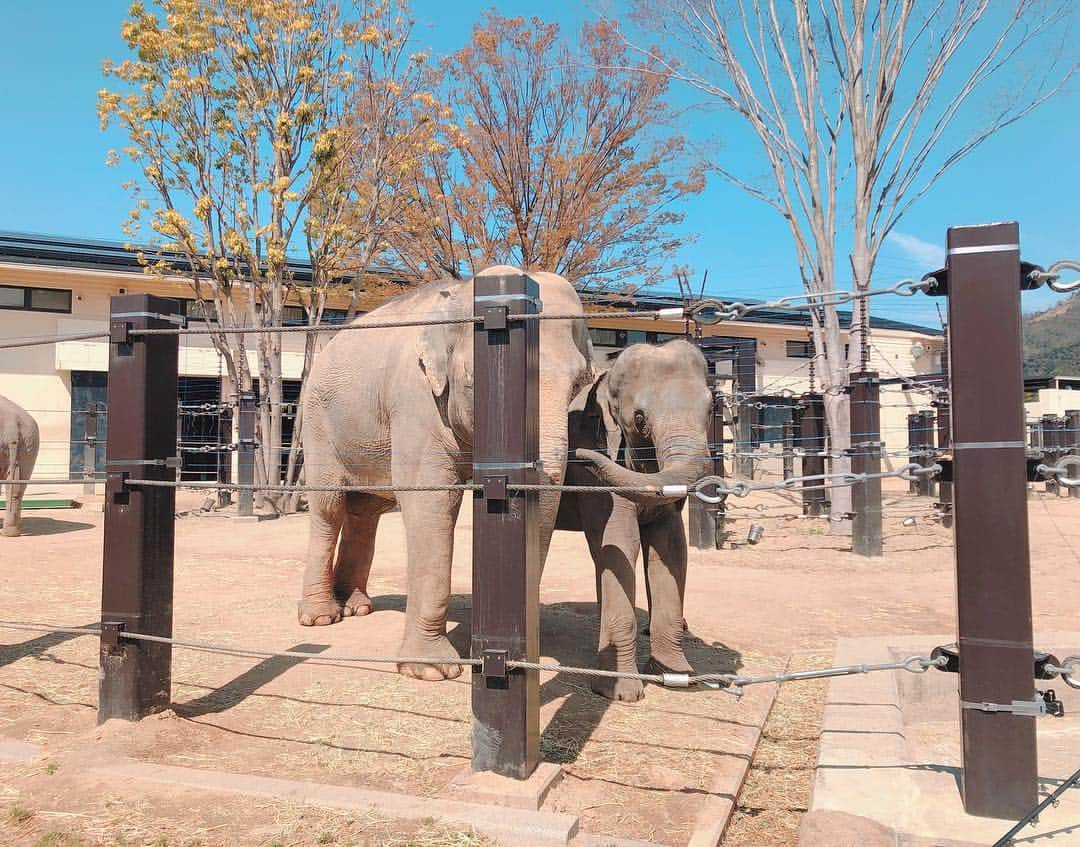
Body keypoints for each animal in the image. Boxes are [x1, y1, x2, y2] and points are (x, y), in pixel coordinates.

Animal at [298, 264, 591, 682]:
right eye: (474, 382)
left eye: (580, 384)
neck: (461, 294)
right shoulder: (417, 399)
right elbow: (433, 500)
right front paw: (432, 670)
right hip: (318, 421)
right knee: (328, 506)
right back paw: (322, 618)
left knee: (365, 512)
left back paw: (356, 607)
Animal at [557, 339, 717, 700]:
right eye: (640, 418)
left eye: (711, 408)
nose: (584, 458)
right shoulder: (594, 465)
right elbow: (620, 543)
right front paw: (621, 693)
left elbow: (670, 548)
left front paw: (679, 676)